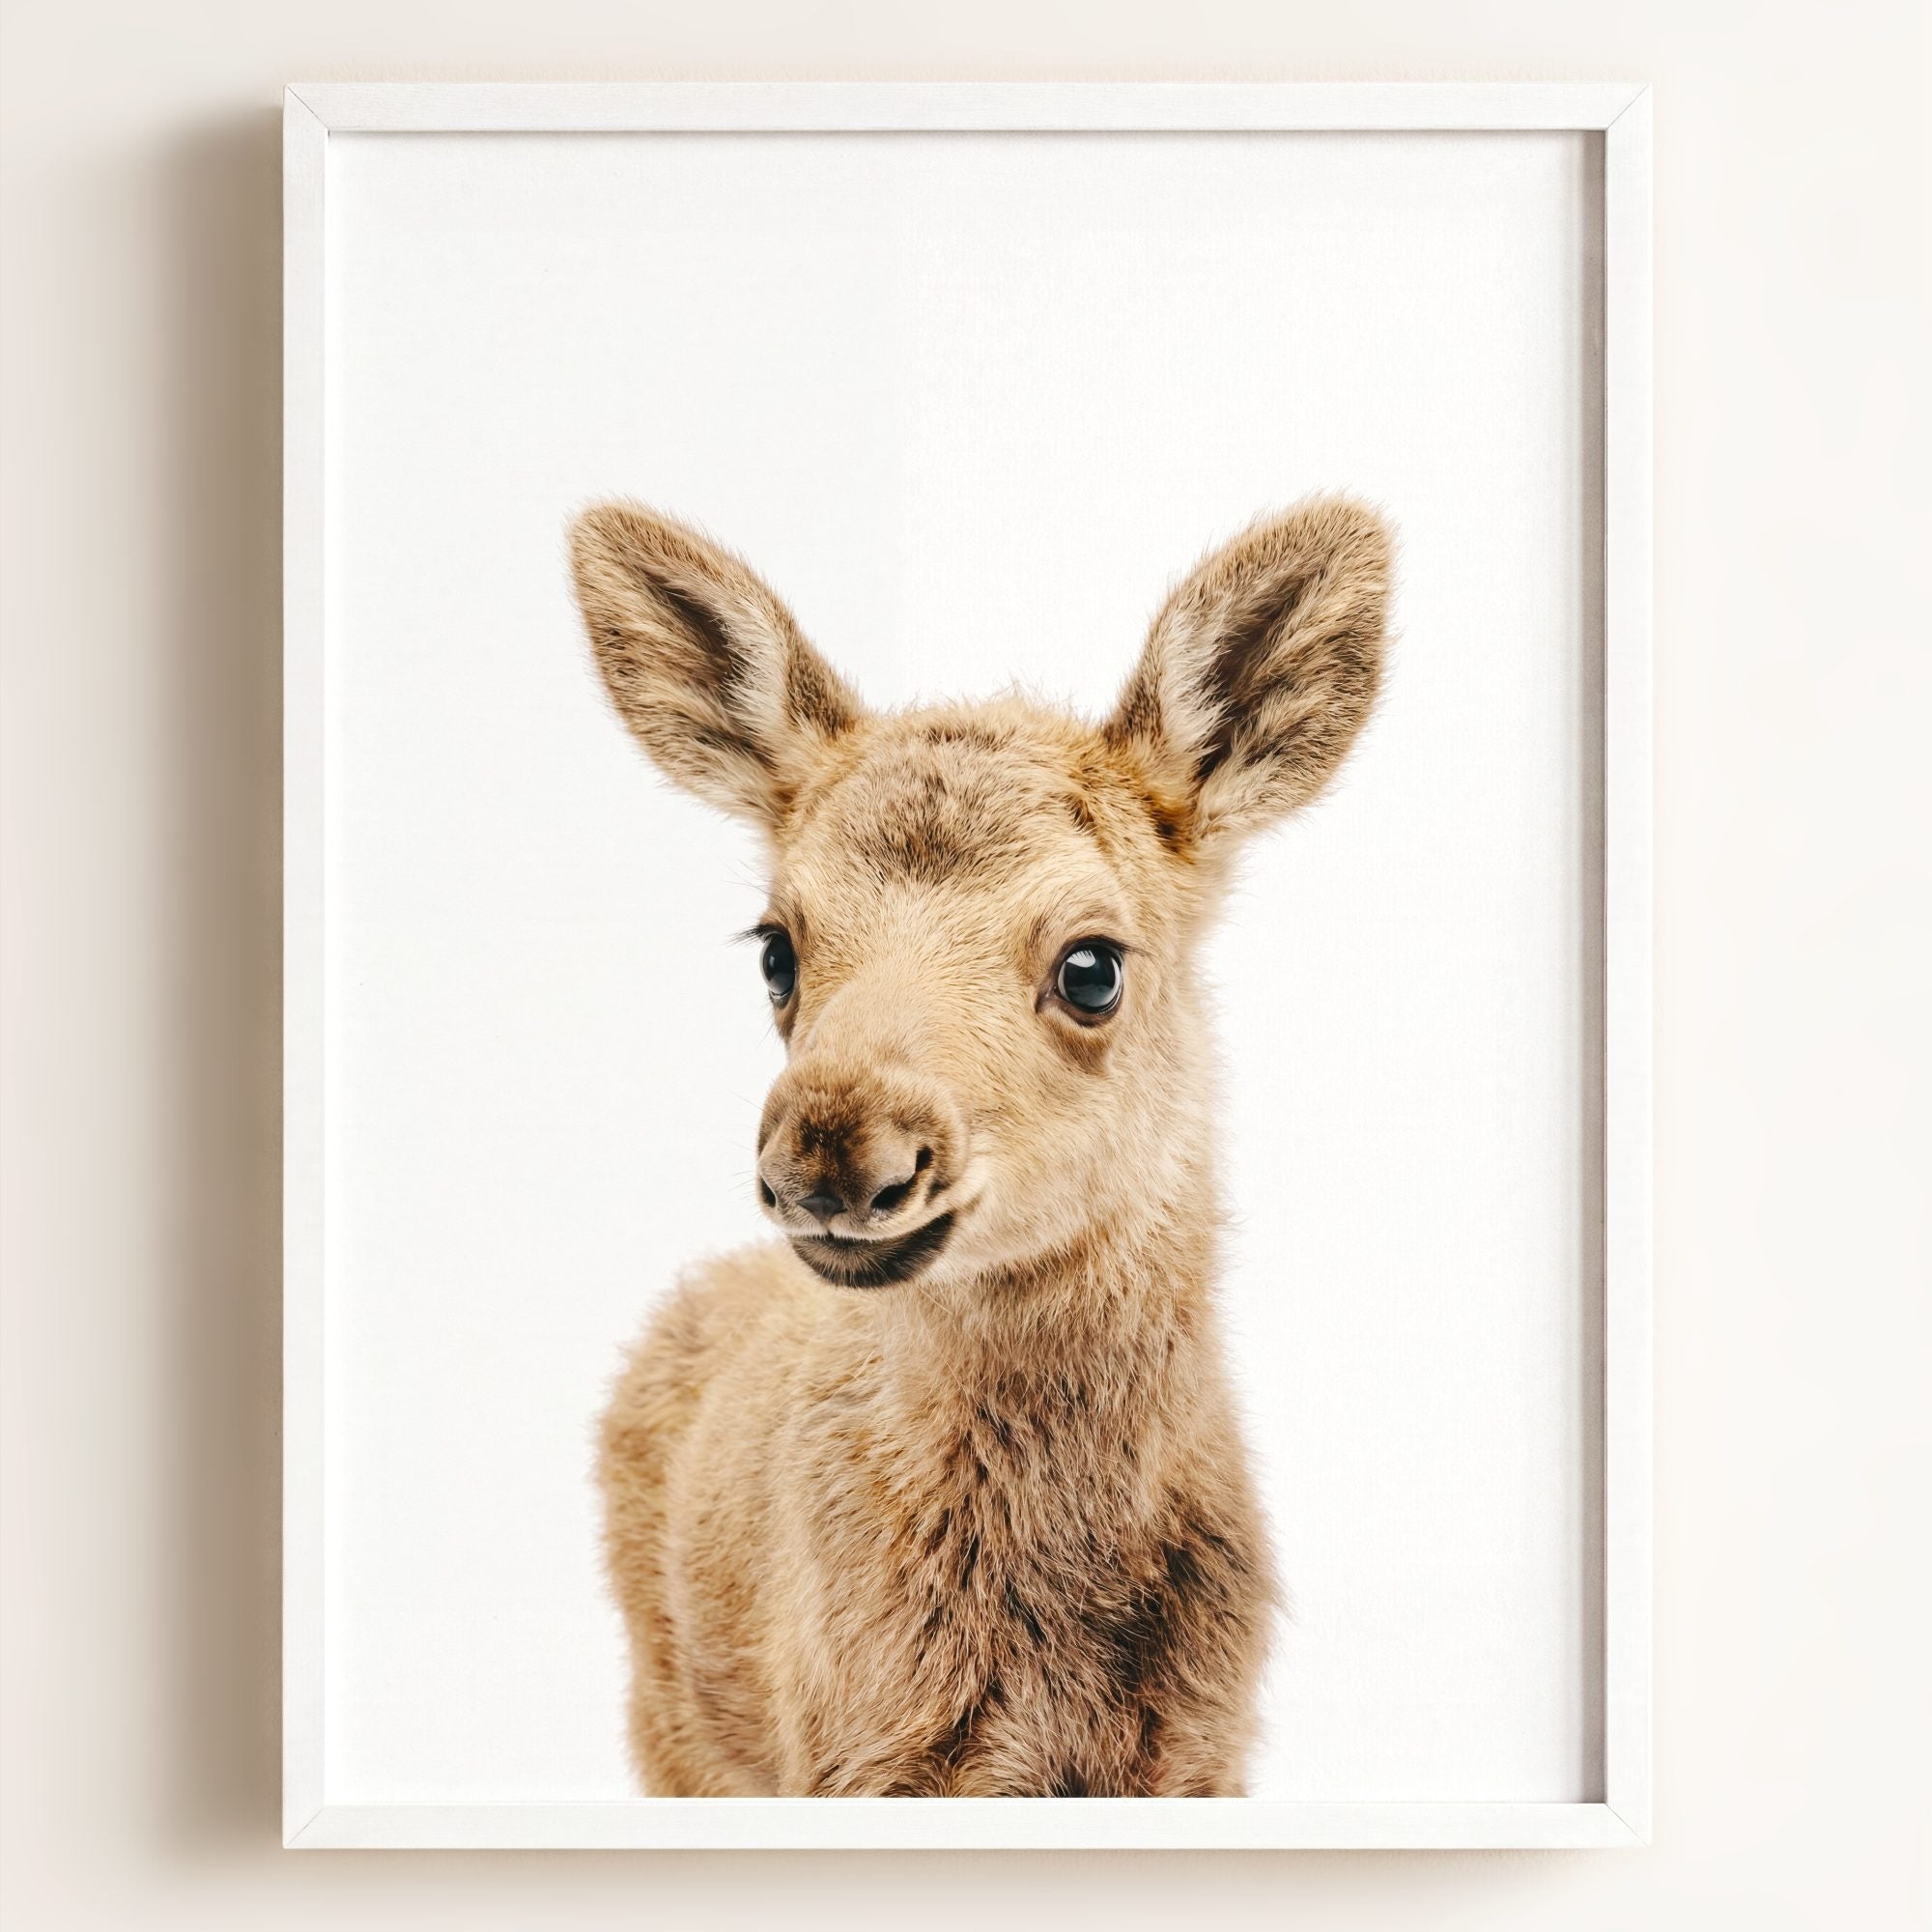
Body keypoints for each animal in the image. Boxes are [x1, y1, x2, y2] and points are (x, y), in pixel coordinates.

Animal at [570, 493, 1392, 1797]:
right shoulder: (849, 1753)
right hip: (671, 1723)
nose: (833, 1151)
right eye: (776, 947)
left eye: (1091, 964)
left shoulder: (1202, 1752)